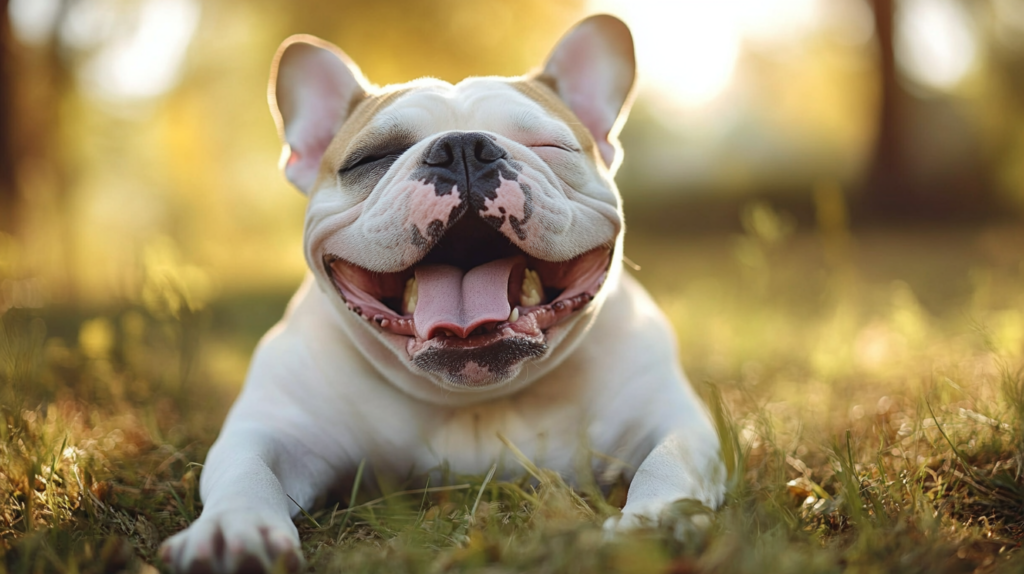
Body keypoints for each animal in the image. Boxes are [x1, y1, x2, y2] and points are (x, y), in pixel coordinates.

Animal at [159, 15, 724, 568]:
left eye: (552, 147)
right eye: (369, 158)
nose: (464, 146)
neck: (471, 398)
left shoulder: (672, 421)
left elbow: (669, 460)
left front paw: (657, 519)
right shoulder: (275, 434)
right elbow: (247, 471)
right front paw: (232, 530)